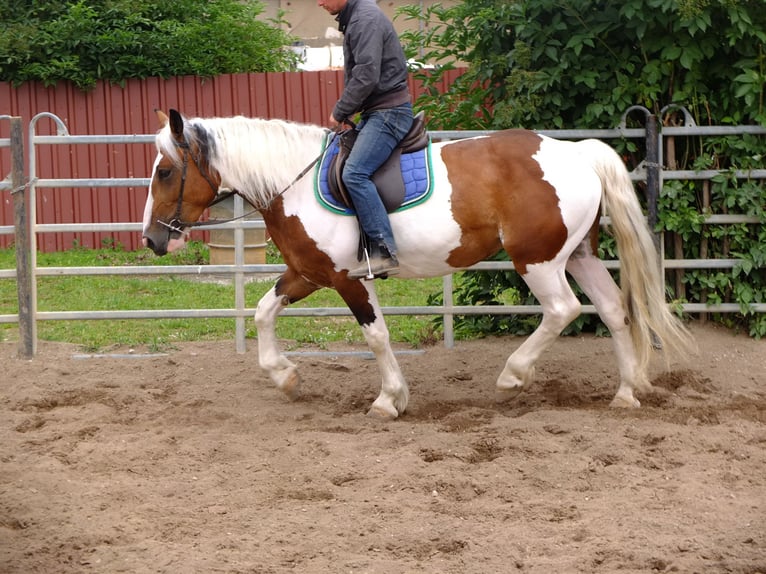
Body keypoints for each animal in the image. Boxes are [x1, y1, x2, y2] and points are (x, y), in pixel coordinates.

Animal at [142, 110, 696, 420]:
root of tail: (578, 154)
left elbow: (377, 336)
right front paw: (284, 376)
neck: (293, 182)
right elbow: (262, 311)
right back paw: (625, 393)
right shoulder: (307, 274)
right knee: (613, 309)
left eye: (166, 171)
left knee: (564, 310)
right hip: (577, 254)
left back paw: (513, 376)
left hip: (538, 261)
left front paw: (389, 400)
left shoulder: (346, 279)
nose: (151, 239)